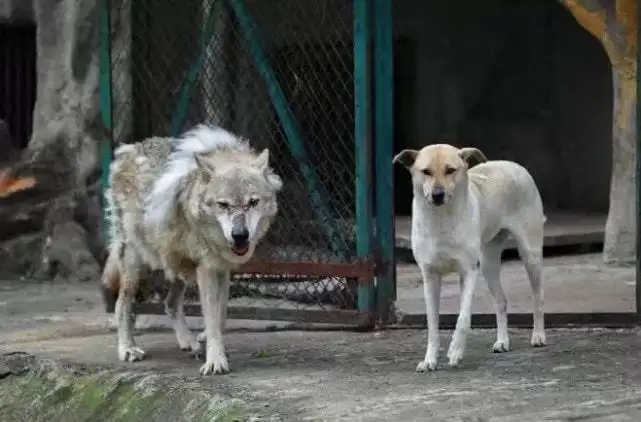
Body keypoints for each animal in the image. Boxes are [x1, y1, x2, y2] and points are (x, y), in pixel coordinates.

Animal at [102, 124, 282, 376]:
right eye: (223, 205)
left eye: (253, 202)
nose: (240, 235)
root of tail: (126, 150)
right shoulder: (207, 267)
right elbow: (212, 316)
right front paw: (215, 361)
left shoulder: (221, 267)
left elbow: (220, 315)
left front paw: (213, 345)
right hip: (138, 263)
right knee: (122, 303)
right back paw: (128, 348)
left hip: (176, 263)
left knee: (169, 303)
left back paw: (189, 342)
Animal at [390, 144, 544, 372]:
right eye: (425, 171)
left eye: (450, 170)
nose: (437, 194)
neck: (441, 219)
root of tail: (512, 165)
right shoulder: (430, 277)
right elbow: (432, 324)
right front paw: (429, 360)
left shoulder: (469, 272)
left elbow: (463, 318)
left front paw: (455, 351)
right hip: (488, 264)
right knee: (501, 301)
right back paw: (502, 341)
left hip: (530, 255)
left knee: (537, 297)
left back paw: (539, 335)